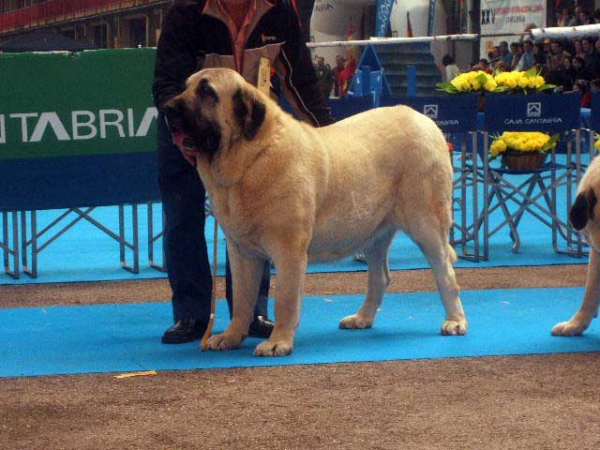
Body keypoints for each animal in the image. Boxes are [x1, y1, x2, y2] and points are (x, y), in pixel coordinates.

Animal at [165, 67, 468, 356]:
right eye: (185, 87)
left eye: (207, 92)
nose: (167, 108)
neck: (250, 158)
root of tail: (425, 120)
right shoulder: (241, 252)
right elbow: (241, 299)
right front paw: (230, 337)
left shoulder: (288, 251)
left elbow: (285, 300)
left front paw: (278, 343)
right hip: (374, 232)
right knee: (380, 277)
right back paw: (362, 318)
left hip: (427, 224)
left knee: (446, 275)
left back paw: (455, 321)